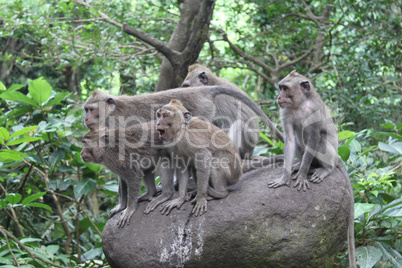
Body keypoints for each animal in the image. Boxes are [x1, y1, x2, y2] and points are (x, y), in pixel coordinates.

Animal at [266, 70, 354, 266]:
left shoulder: (313, 111)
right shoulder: (286, 111)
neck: (299, 105)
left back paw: (322, 169)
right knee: (299, 137)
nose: (278, 97)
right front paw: (285, 177)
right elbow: (290, 140)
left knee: (320, 138)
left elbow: (314, 137)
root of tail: (337, 157)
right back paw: (298, 165)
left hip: (330, 155)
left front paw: (302, 177)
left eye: (285, 88)